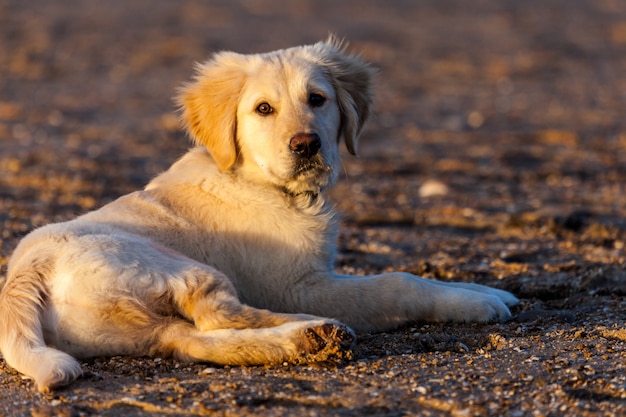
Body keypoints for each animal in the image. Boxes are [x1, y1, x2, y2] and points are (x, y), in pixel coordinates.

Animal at [0, 37, 516, 392]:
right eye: (263, 109)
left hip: (134, 328)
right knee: (217, 316)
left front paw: (481, 289)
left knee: (193, 339)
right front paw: (472, 301)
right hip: (174, 266)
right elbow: (398, 282)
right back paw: (317, 330)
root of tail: (24, 273)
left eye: (317, 99)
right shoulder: (299, 285)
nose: (306, 145)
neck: (265, 184)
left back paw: (308, 339)